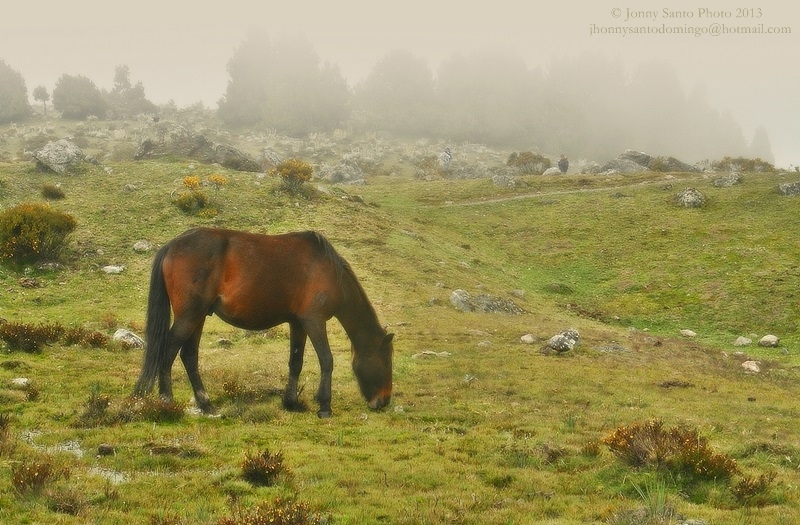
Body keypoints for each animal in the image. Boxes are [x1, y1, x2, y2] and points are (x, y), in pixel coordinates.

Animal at [133, 227, 396, 416]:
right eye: (386, 361)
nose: (383, 401)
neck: (331, 273)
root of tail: (172, 245)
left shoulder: (298, 323)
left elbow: (296, 362)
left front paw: (291, 402)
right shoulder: (314, 321)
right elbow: (326, 360)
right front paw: (324, 406)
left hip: (198, 317)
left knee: (189, 355)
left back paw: (206, 405)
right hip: (190, 315)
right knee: (169, 350)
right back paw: (167, 400)